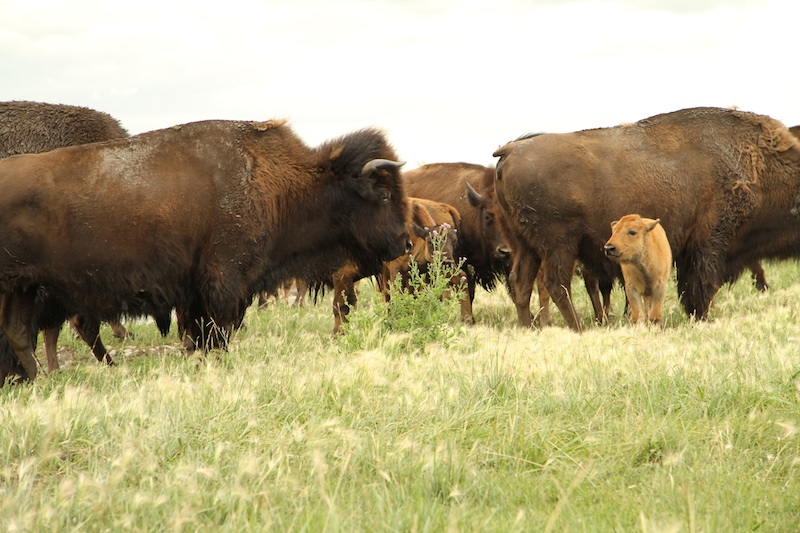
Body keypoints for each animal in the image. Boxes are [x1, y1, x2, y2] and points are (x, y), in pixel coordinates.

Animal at [0, 117, 410, 382]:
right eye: (384, 194)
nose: (405, 241)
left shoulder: (197, 291)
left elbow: (200, 335)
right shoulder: (224, 283)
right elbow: (216, 333)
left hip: (24, 286)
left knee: (18, 332)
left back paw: (42, 382)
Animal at [494, 106, 800, 330]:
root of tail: (510, 151)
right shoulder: (709, 244)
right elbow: (701, 287)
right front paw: (700, 318)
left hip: (525, 244)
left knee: (521, 283)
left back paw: (528, 328)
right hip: (559, 244)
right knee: (556, 284)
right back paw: (579, 328)